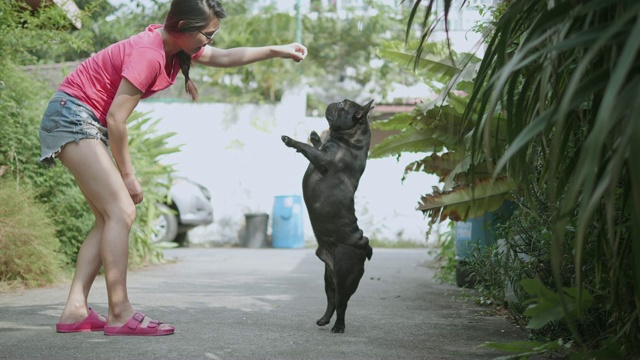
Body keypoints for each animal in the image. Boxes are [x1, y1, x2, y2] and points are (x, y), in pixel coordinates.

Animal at [282, 97, 376, 332]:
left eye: (343, 105)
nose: (334, 101)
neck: (348, 139)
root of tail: (364, 245)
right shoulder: (321, 154)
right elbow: (315, 145)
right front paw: (316, 136)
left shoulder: (323, 160)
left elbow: (307, 148)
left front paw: (291, 141)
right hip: (328, 278)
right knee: (331, 300)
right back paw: (324, 320)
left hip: (344, 276)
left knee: (342, 303)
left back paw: (338, 327)